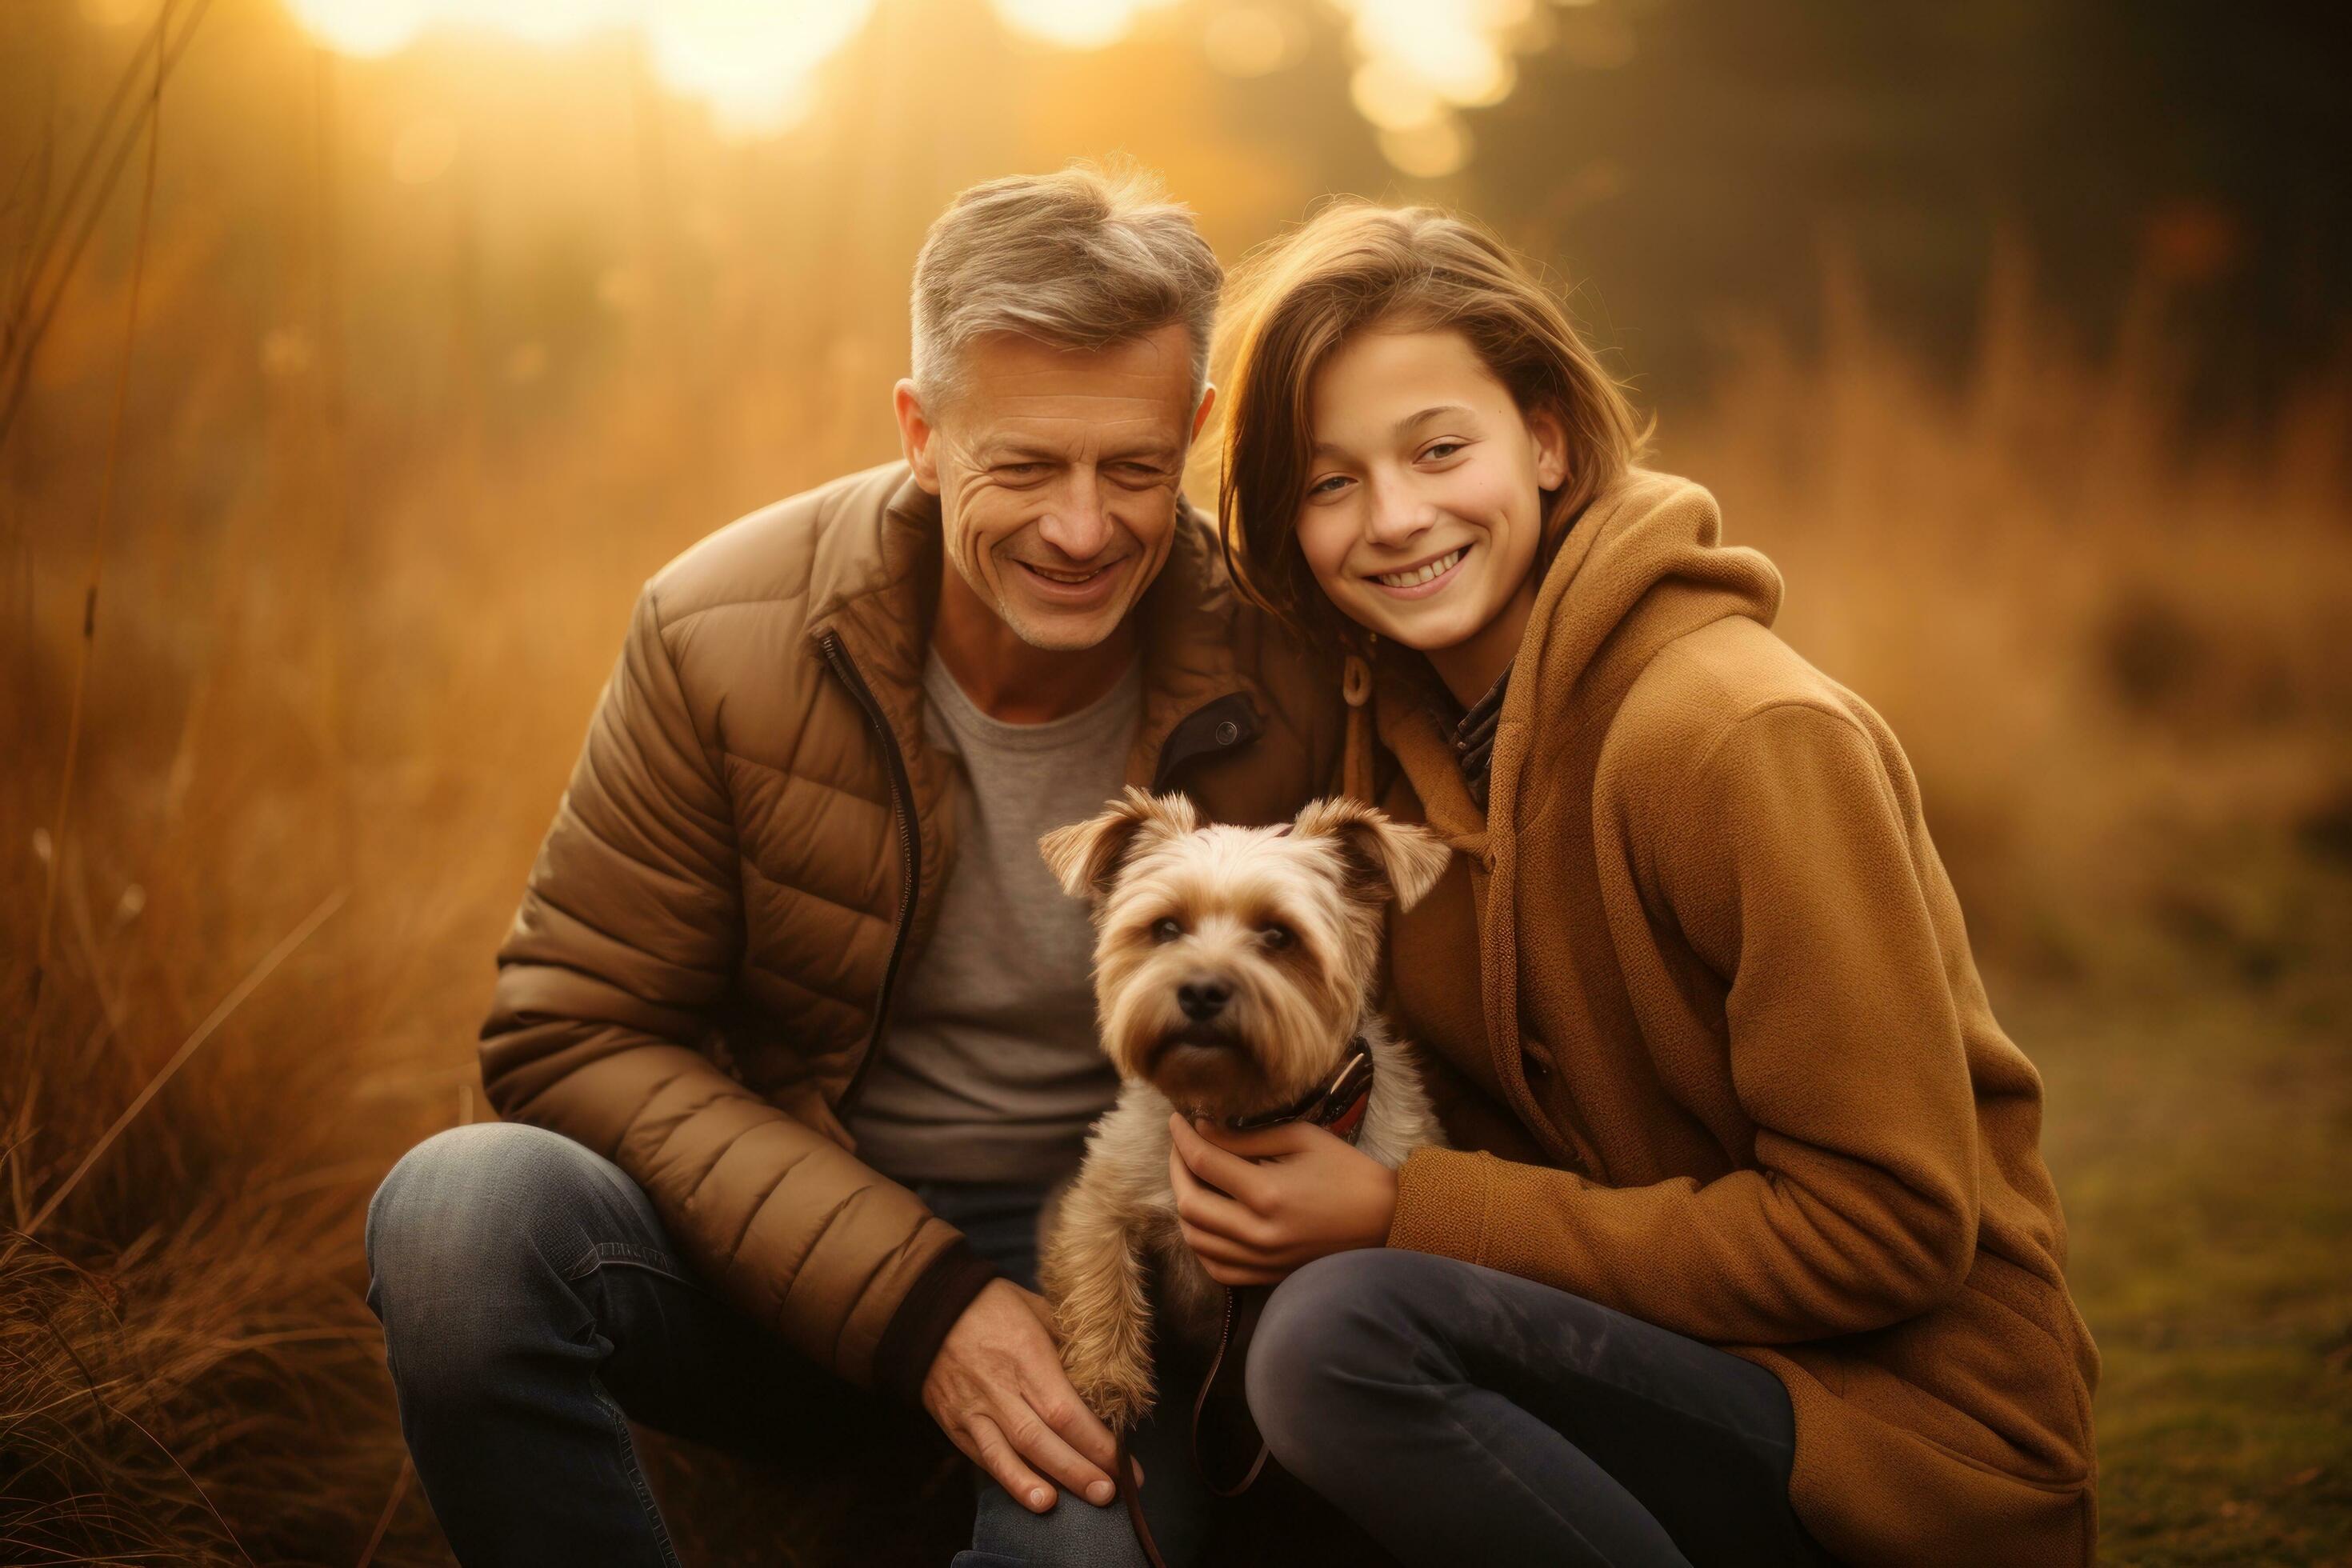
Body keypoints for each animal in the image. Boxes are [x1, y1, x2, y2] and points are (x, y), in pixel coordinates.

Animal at [1034, 785, 1439, 1438]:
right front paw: (1107, 1380)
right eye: (1166, 928)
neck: (1233, 1110)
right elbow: (1100, 1272)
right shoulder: (1098, 1201)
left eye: (1278, 936)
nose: (1201, 990)